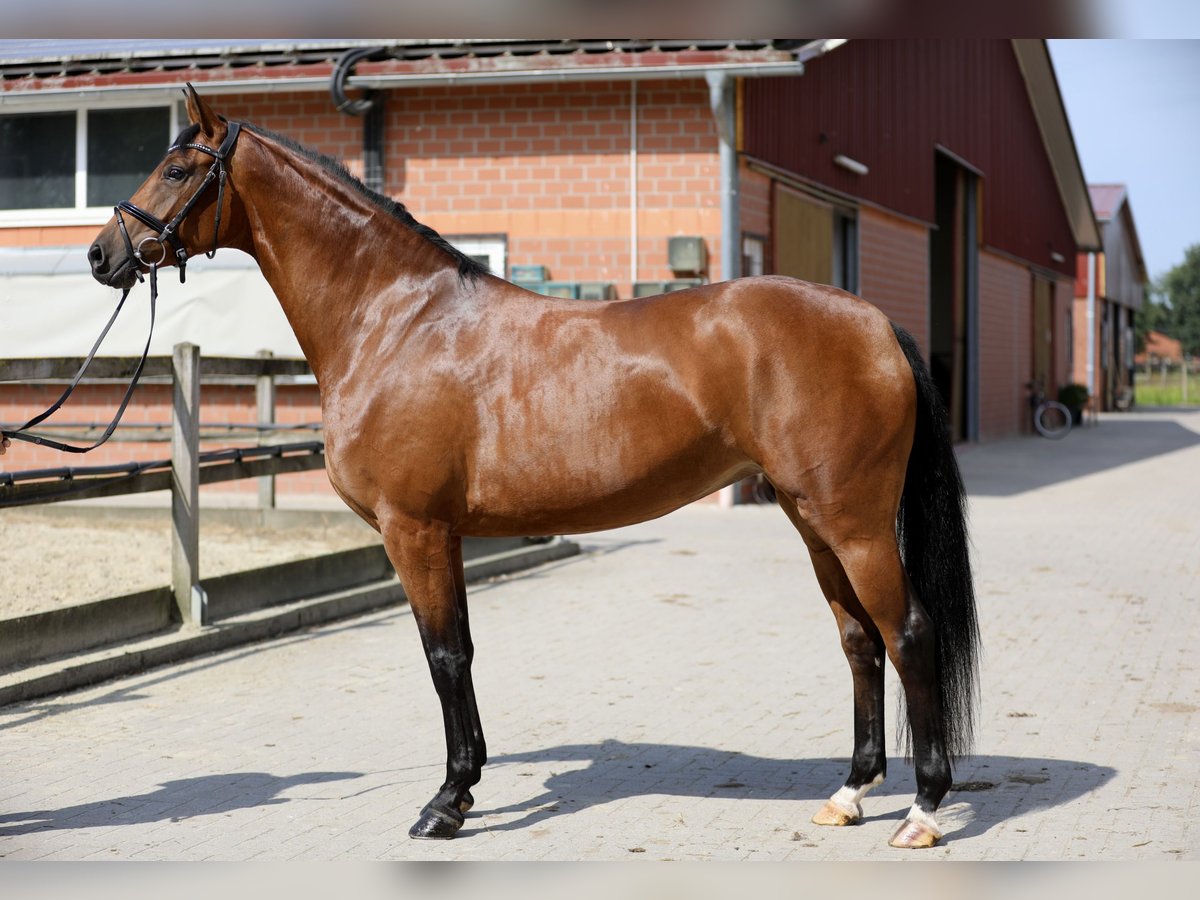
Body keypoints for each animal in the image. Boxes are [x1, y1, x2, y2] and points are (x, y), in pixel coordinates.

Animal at [87, 88, 984, 849]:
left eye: (177, 169)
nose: (102, 255)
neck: (396, 321)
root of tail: (875, 323)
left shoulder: (415, 532)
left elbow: (444, 658)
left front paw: (446, 804)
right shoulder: (444, 535)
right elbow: (460, 653)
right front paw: (465, 786)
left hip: (854, 523)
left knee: (907, 633)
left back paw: (923, 810)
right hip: (812, 519)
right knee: (859, 640)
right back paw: (849, 795)